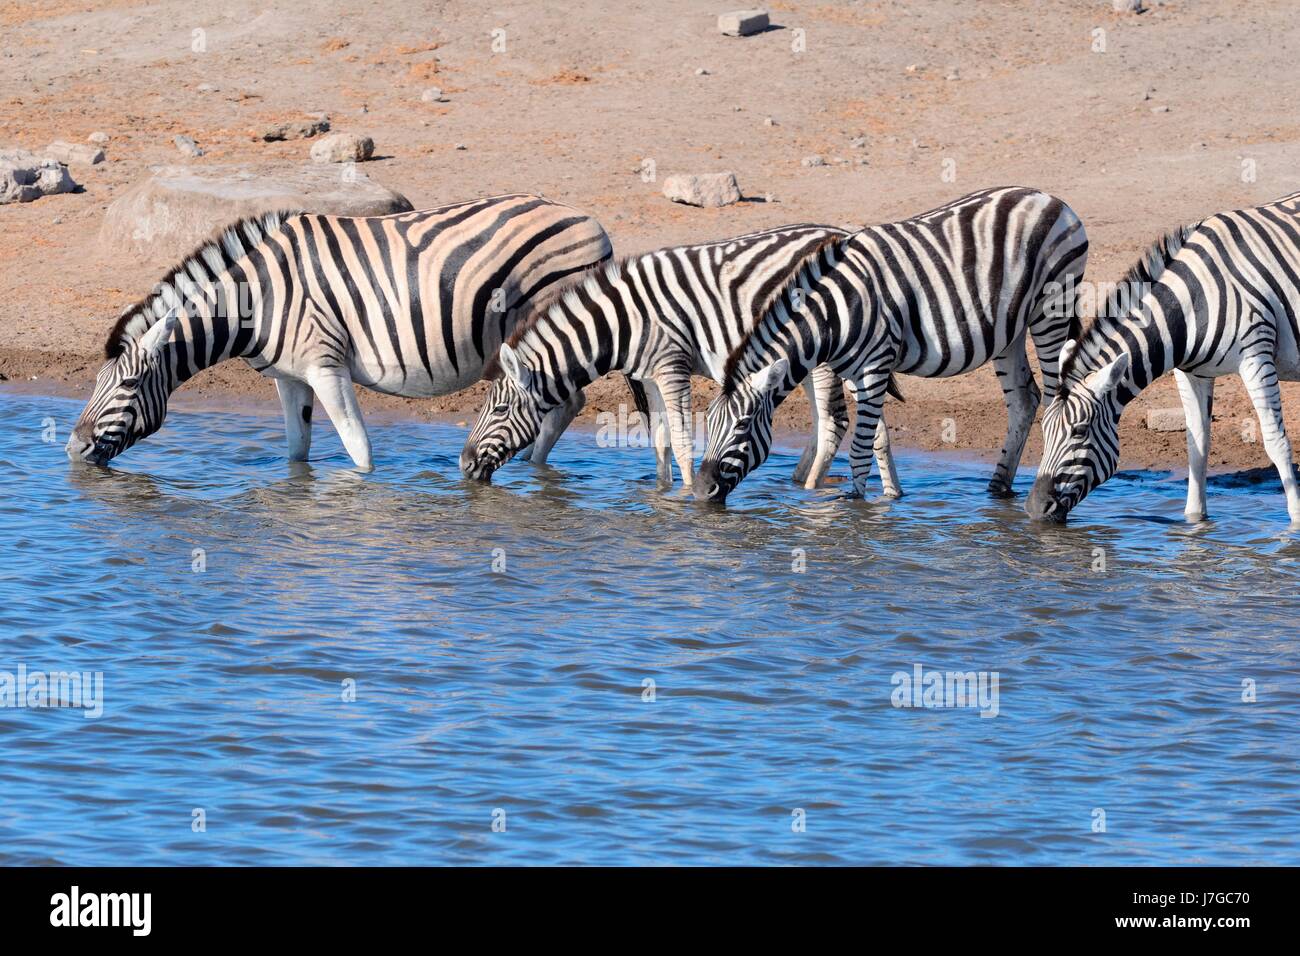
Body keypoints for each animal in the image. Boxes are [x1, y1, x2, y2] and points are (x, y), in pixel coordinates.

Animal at [64, 194, 612, 470]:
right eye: (94, 383)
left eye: (129, 384)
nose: (72, 450)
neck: (258, 299)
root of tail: (591, 222)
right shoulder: (289, 379)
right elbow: (297, 452)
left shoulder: (326, 367)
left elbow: (360, 452)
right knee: (563, 405)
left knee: (565, 402)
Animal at [460, 224, 901, 493]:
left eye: (498, 410)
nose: (463, 465)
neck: (621, 322)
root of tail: (843, 233)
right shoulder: (650, 374)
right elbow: (660, 438)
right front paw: (662, 492)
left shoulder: (673, 365)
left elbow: (682, 436)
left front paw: (688, 494)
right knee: (873, 423)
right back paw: (886, 494)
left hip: (822, 356)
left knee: (833, 422)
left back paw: (808, 493)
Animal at [694, 186, 1089, 503]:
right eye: (708, 424)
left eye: (742, 427)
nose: (700, 491)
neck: (835, 314)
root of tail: (1048, 198)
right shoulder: (856, 371)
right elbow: (877, 440)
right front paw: (889, 499)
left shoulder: (874, 366)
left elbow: (860, 450)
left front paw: (855, 508)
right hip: (1009, 330)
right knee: (1023, 400)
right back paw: (997, 489)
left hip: (1051, 311)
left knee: (1052, 400)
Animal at [1028, 190, 1300, 524]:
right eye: (1043, 430)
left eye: (1079, 431)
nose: (1034, 509)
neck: (1192, 302)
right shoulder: (1191, 371)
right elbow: (1197, 445)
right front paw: (1194, 522)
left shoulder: (1256, 356)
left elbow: (1276, 443)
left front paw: (1295, 524)